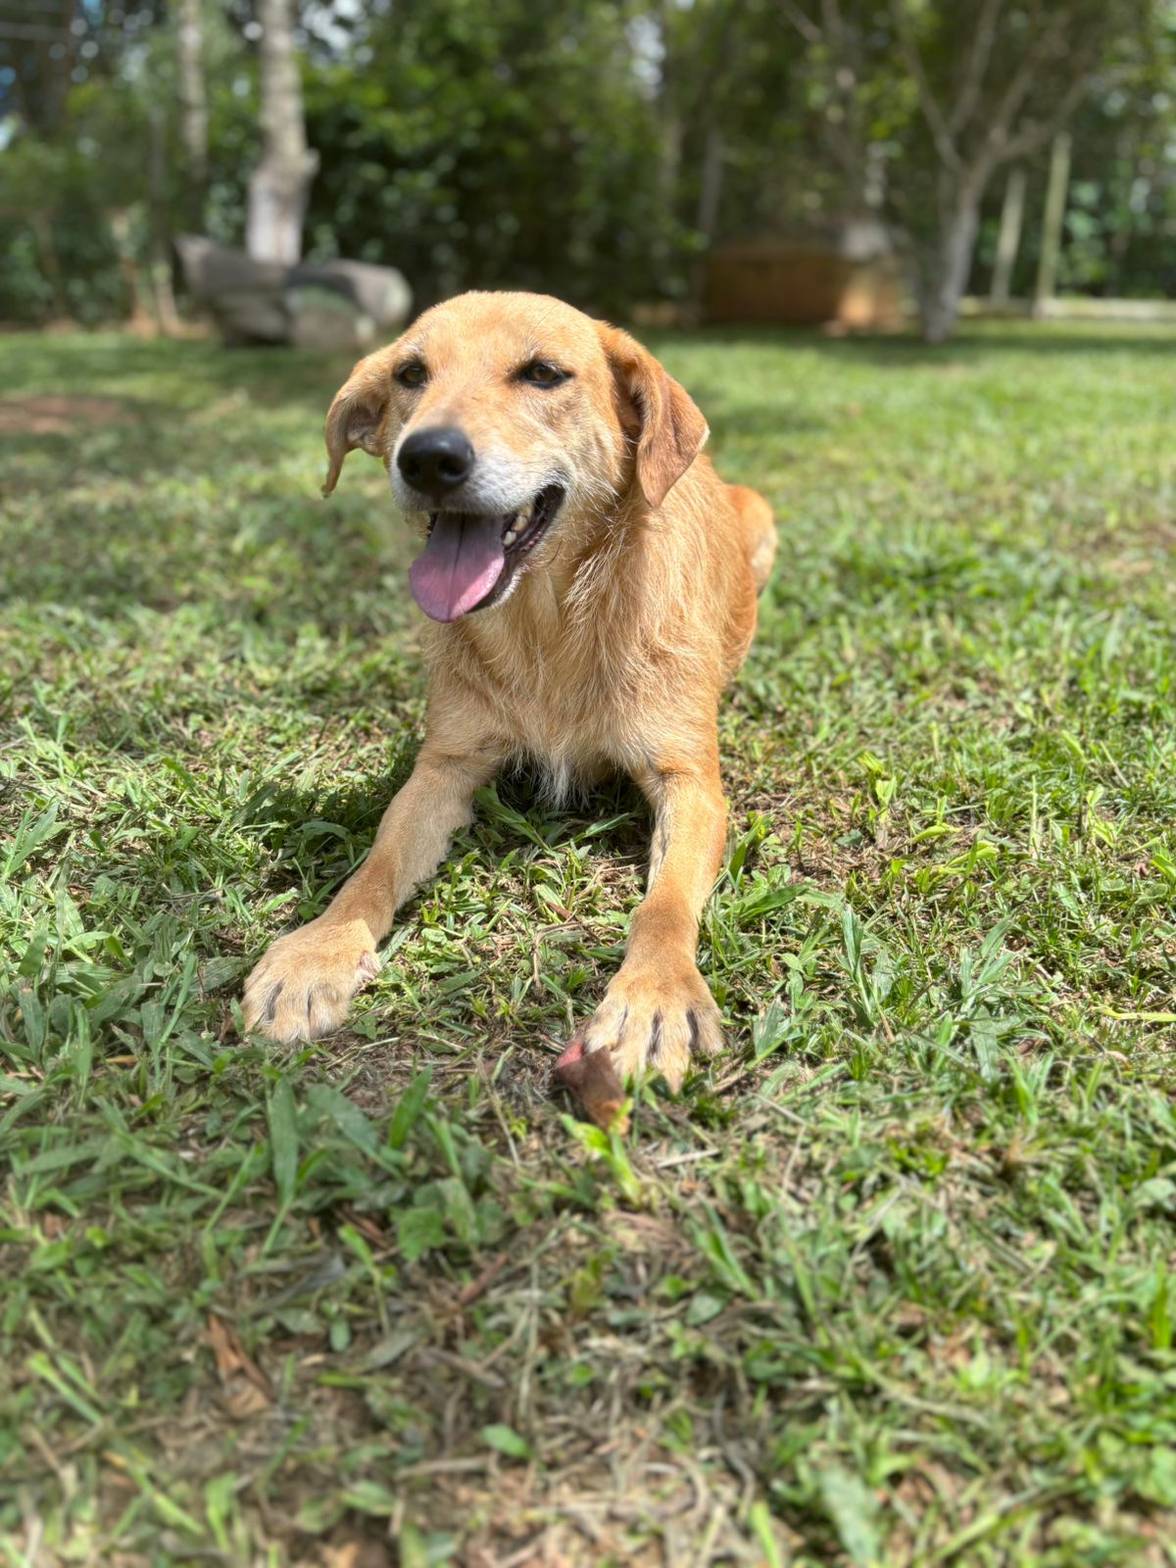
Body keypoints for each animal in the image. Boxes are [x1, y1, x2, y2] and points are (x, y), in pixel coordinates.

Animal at [242, 291, 775, 1089]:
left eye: (543, 373)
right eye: (410, 373)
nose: (427, 458)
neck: (549, 626)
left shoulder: (691, 782)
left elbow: (666, 905)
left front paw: (654, 994)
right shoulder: (446, 766)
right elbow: (375, 866)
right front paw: (320, 949)